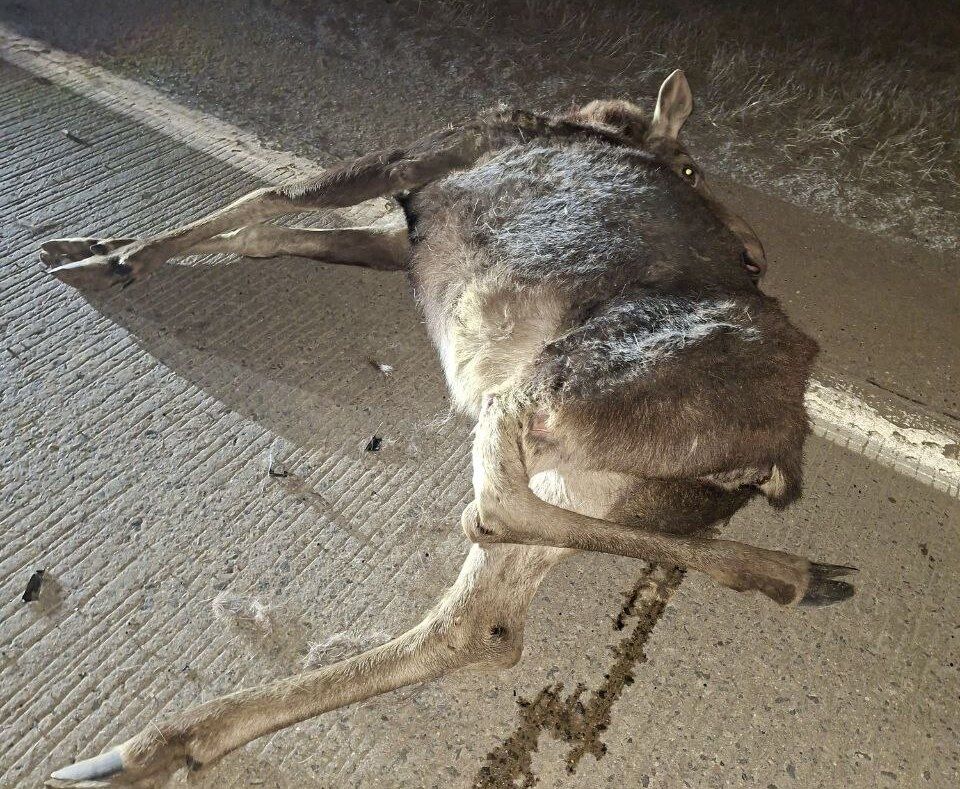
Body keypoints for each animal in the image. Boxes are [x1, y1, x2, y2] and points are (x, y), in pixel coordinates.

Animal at [40, 70, 856, 786]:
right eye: (689, 167)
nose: (756, 254)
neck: (593, 118)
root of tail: (772, 459)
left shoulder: (423, 155)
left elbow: (269, 197)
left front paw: (117, 255)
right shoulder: (404, 234)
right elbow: (273, 234)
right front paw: (88, 246)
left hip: (552, 386)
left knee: (492, 508)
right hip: (601, 475)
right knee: (483, 622)